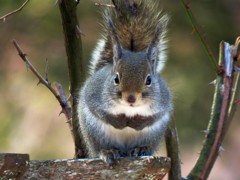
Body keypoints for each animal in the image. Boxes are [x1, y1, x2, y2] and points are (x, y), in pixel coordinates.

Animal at [78, 0, 172, 164]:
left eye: (149, 80)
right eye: (116, 79)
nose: (131, 98)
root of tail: (125, 151)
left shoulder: (163, 101)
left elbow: (156, 116)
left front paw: (138, 123)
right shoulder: (93, 95)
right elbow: (99, 112)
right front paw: (119, 122)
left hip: (153, 135)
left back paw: (141, 149)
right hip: (94, 133)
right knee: (100, 147)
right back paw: (108, 152)